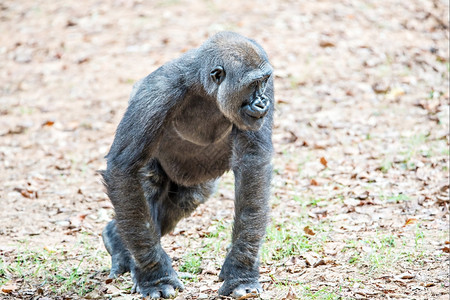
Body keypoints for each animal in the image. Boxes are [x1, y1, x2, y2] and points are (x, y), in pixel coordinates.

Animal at [100, 30, 272, 298]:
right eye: (252, 85)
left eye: (263, 82)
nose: (263, 102)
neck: (205, 87)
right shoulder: (157, 93)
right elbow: (124, 169)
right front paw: (155, 278)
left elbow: (253, 165)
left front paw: (240, 272)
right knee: (144, 189)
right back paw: (122, 248)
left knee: (186, 199)